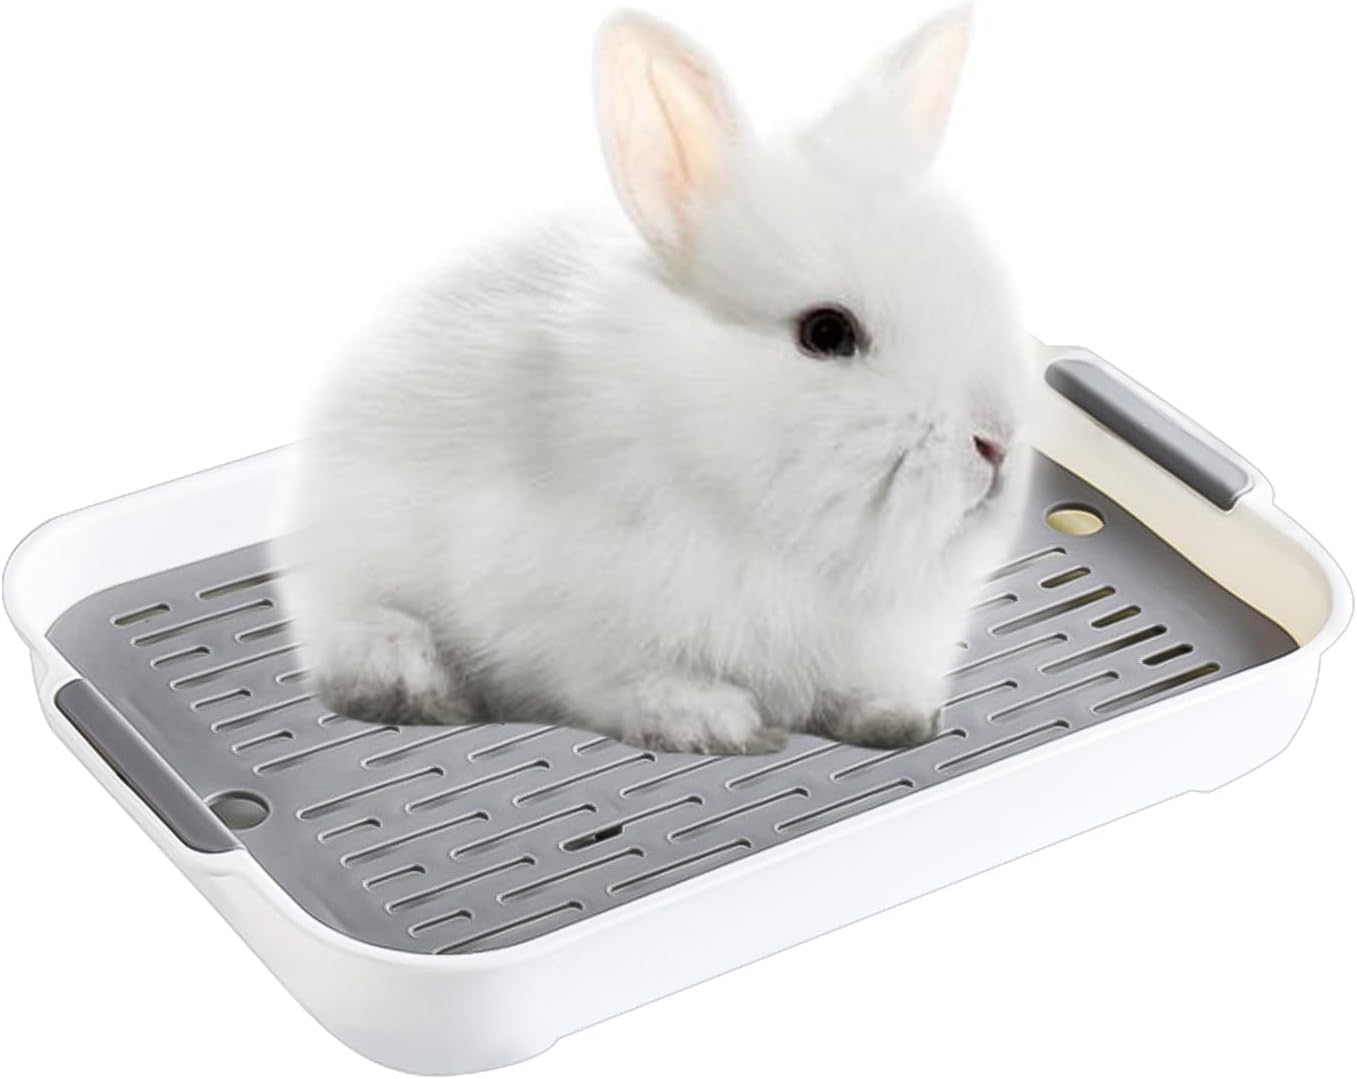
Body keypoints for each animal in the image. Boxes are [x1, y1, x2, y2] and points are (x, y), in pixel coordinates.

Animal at [284, 6, 1034, 756]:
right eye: (827, 333)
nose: (994, 442)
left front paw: (898, 719)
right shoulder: (574, 625)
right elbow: (636, 681)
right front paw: (715, 722)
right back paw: (410, 679)